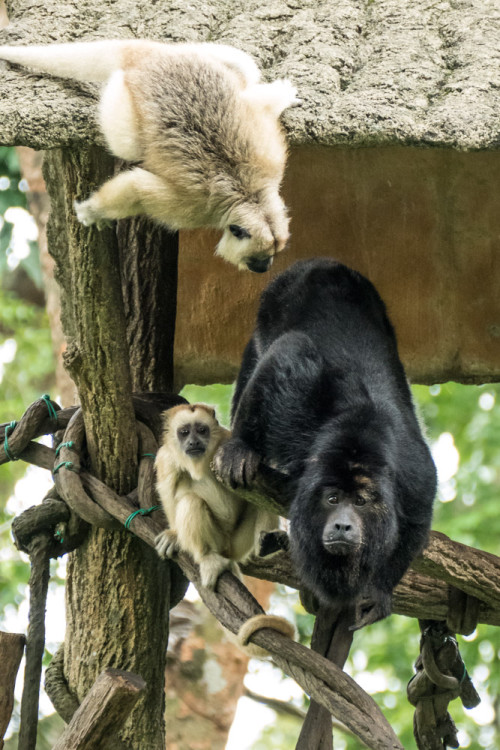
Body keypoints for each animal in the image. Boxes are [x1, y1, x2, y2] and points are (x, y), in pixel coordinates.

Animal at [0, 38, 296, 274]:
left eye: (273, 254)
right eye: (257, 256)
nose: (264, 267)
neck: (251, 197)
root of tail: (148, 60)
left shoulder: (273, 162)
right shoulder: (196, 209)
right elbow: (136, 187)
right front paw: (92, 211)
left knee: (246, 70)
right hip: (123, 97)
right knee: (127, 144)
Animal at [154, 402, 278, 592]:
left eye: (201, 430)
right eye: (184, 432)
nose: (193, 442)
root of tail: (227, 551)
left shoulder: (226, 440)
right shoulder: (166, 458)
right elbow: (167, 491)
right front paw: (174, 536)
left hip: (238, 544)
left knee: (261, 500)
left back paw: (267, 544)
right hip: (219, 541)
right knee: (191, 501)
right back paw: (207, 558)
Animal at [215, 258, 438, 628]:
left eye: (360, 502)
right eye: (332, 499)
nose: (343, 524)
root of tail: (324, 263)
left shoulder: (416, 474)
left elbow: (415, 523)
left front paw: (378, 592)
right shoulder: (297, 406)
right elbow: (288, 354)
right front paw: (241, 447)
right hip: (273, 302)